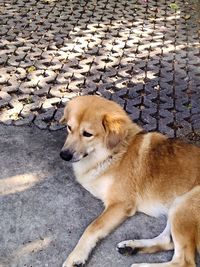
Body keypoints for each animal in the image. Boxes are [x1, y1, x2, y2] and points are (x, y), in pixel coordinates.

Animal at [59, 96, 200, 267]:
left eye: (87, 134)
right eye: (69, 127)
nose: (64, 155)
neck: (113, 153)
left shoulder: (120, 204)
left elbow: (92, 227)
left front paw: (76, 256)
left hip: (184, 204)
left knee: (184, 261)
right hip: (177, 207)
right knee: (168, 241)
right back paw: (132, 247)